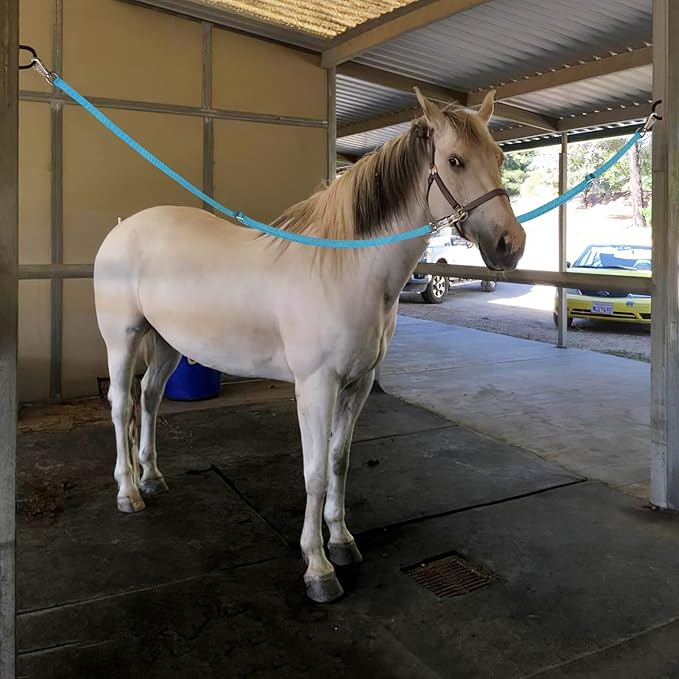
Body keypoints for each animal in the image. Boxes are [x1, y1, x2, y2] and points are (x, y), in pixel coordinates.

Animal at [93, 88, 526, 603]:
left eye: (499, 156)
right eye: (455, 160)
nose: (510, 244)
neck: (346, 270)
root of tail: (123, 228)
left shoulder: (359, 384)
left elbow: (339, 460)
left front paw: (341, 541)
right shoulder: (317, 386)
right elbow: (314, 471)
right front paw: (318, 568)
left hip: (165, 343)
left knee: (150, 398)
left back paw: (153, 478)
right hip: (122, 339)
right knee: (122, 405)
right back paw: (128, 492)